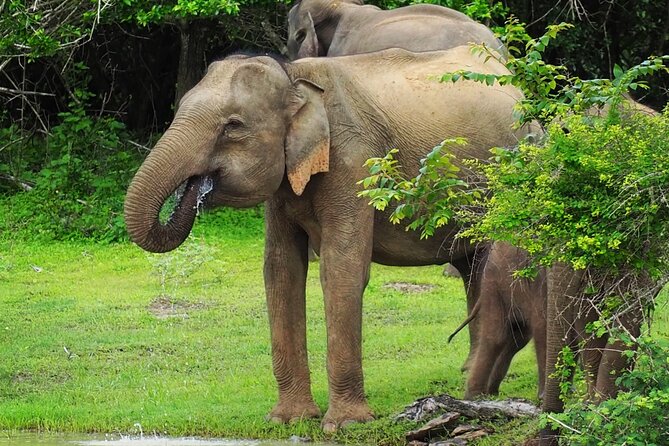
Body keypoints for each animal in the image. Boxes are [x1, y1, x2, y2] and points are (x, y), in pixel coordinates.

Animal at [124, 46, 536, 431]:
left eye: (233, 126)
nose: (195, 188)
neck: (295, 77)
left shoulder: (354, 163)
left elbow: (341, 271)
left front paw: (346, 424)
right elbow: (281, 271)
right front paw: (289, 419)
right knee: (471, 267)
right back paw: (468, 373)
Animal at [448, 242, 547, 400]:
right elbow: (542, 326)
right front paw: (544, 397)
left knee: (517, 337)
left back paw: (490, 392)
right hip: (494, 285)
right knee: (495, 336)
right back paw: (475, 397)